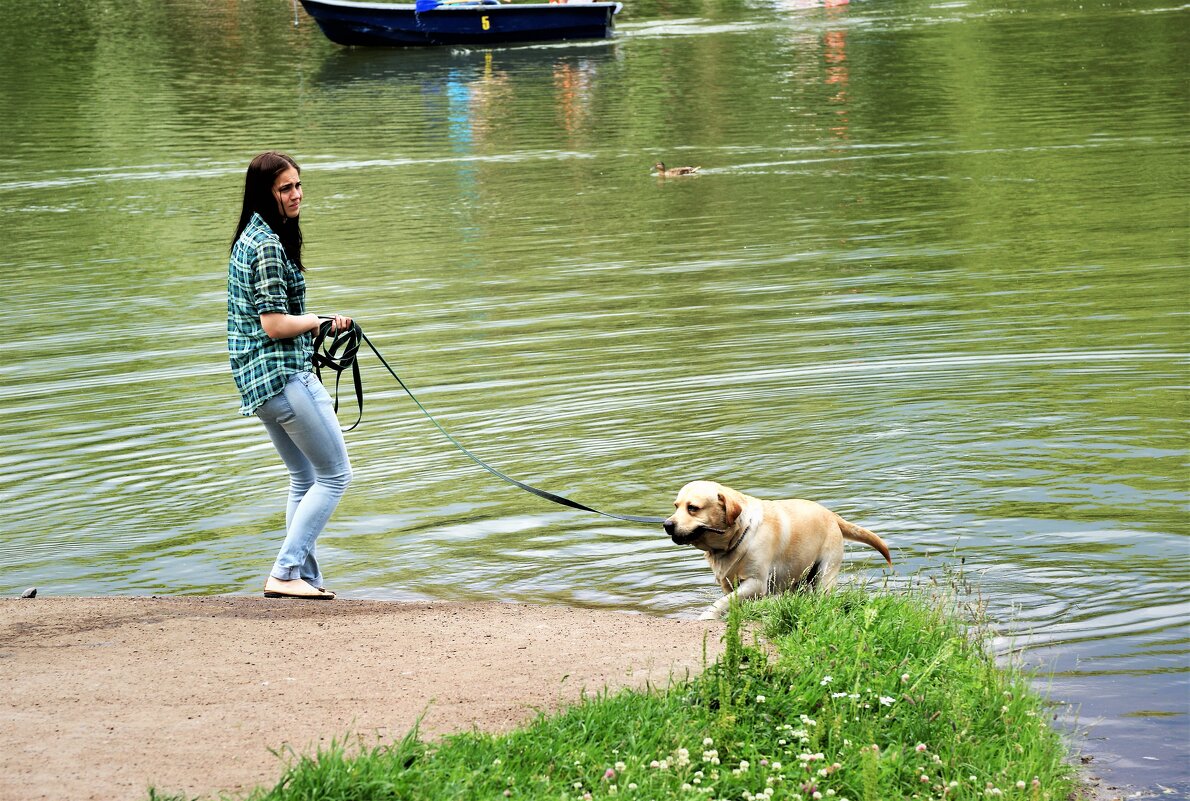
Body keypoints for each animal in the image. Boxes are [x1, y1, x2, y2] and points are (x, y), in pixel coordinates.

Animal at [661, 478, 894, 623]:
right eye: (676, 506)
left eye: (693, 508)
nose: (667, 524)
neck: (738, 536)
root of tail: (832, 515)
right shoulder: (728, 584)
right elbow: (729, 601)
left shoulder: (756, 583)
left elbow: (721, 603)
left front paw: (707, 617)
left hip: (825, 573)